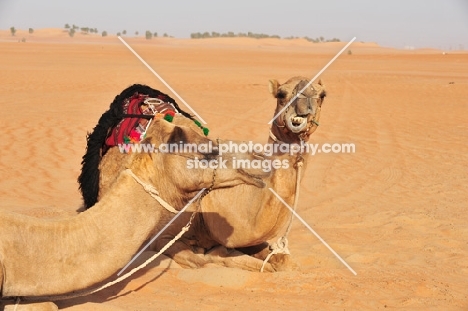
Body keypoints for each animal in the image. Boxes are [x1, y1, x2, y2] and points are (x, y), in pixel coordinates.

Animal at [78, 78, 326, 272]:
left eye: (322, 95)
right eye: (282, 94)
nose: (304, 106)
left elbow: (284, 262)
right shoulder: (160, 237)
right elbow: (203, 260)